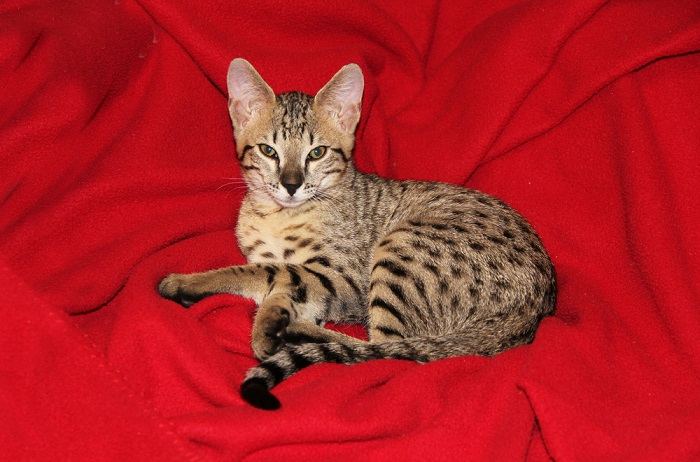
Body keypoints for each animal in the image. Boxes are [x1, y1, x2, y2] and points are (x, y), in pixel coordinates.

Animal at [160, 58, 556, 412]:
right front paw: (269, 319)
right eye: (268, 150)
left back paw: (295, 332)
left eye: (317, 152)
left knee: (389, 350)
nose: (291, 184)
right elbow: (277, 283)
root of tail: (533, 309)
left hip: (401, 247)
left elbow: (267, 272)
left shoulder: (346, 278)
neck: (279, 216)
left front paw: (192, 285)